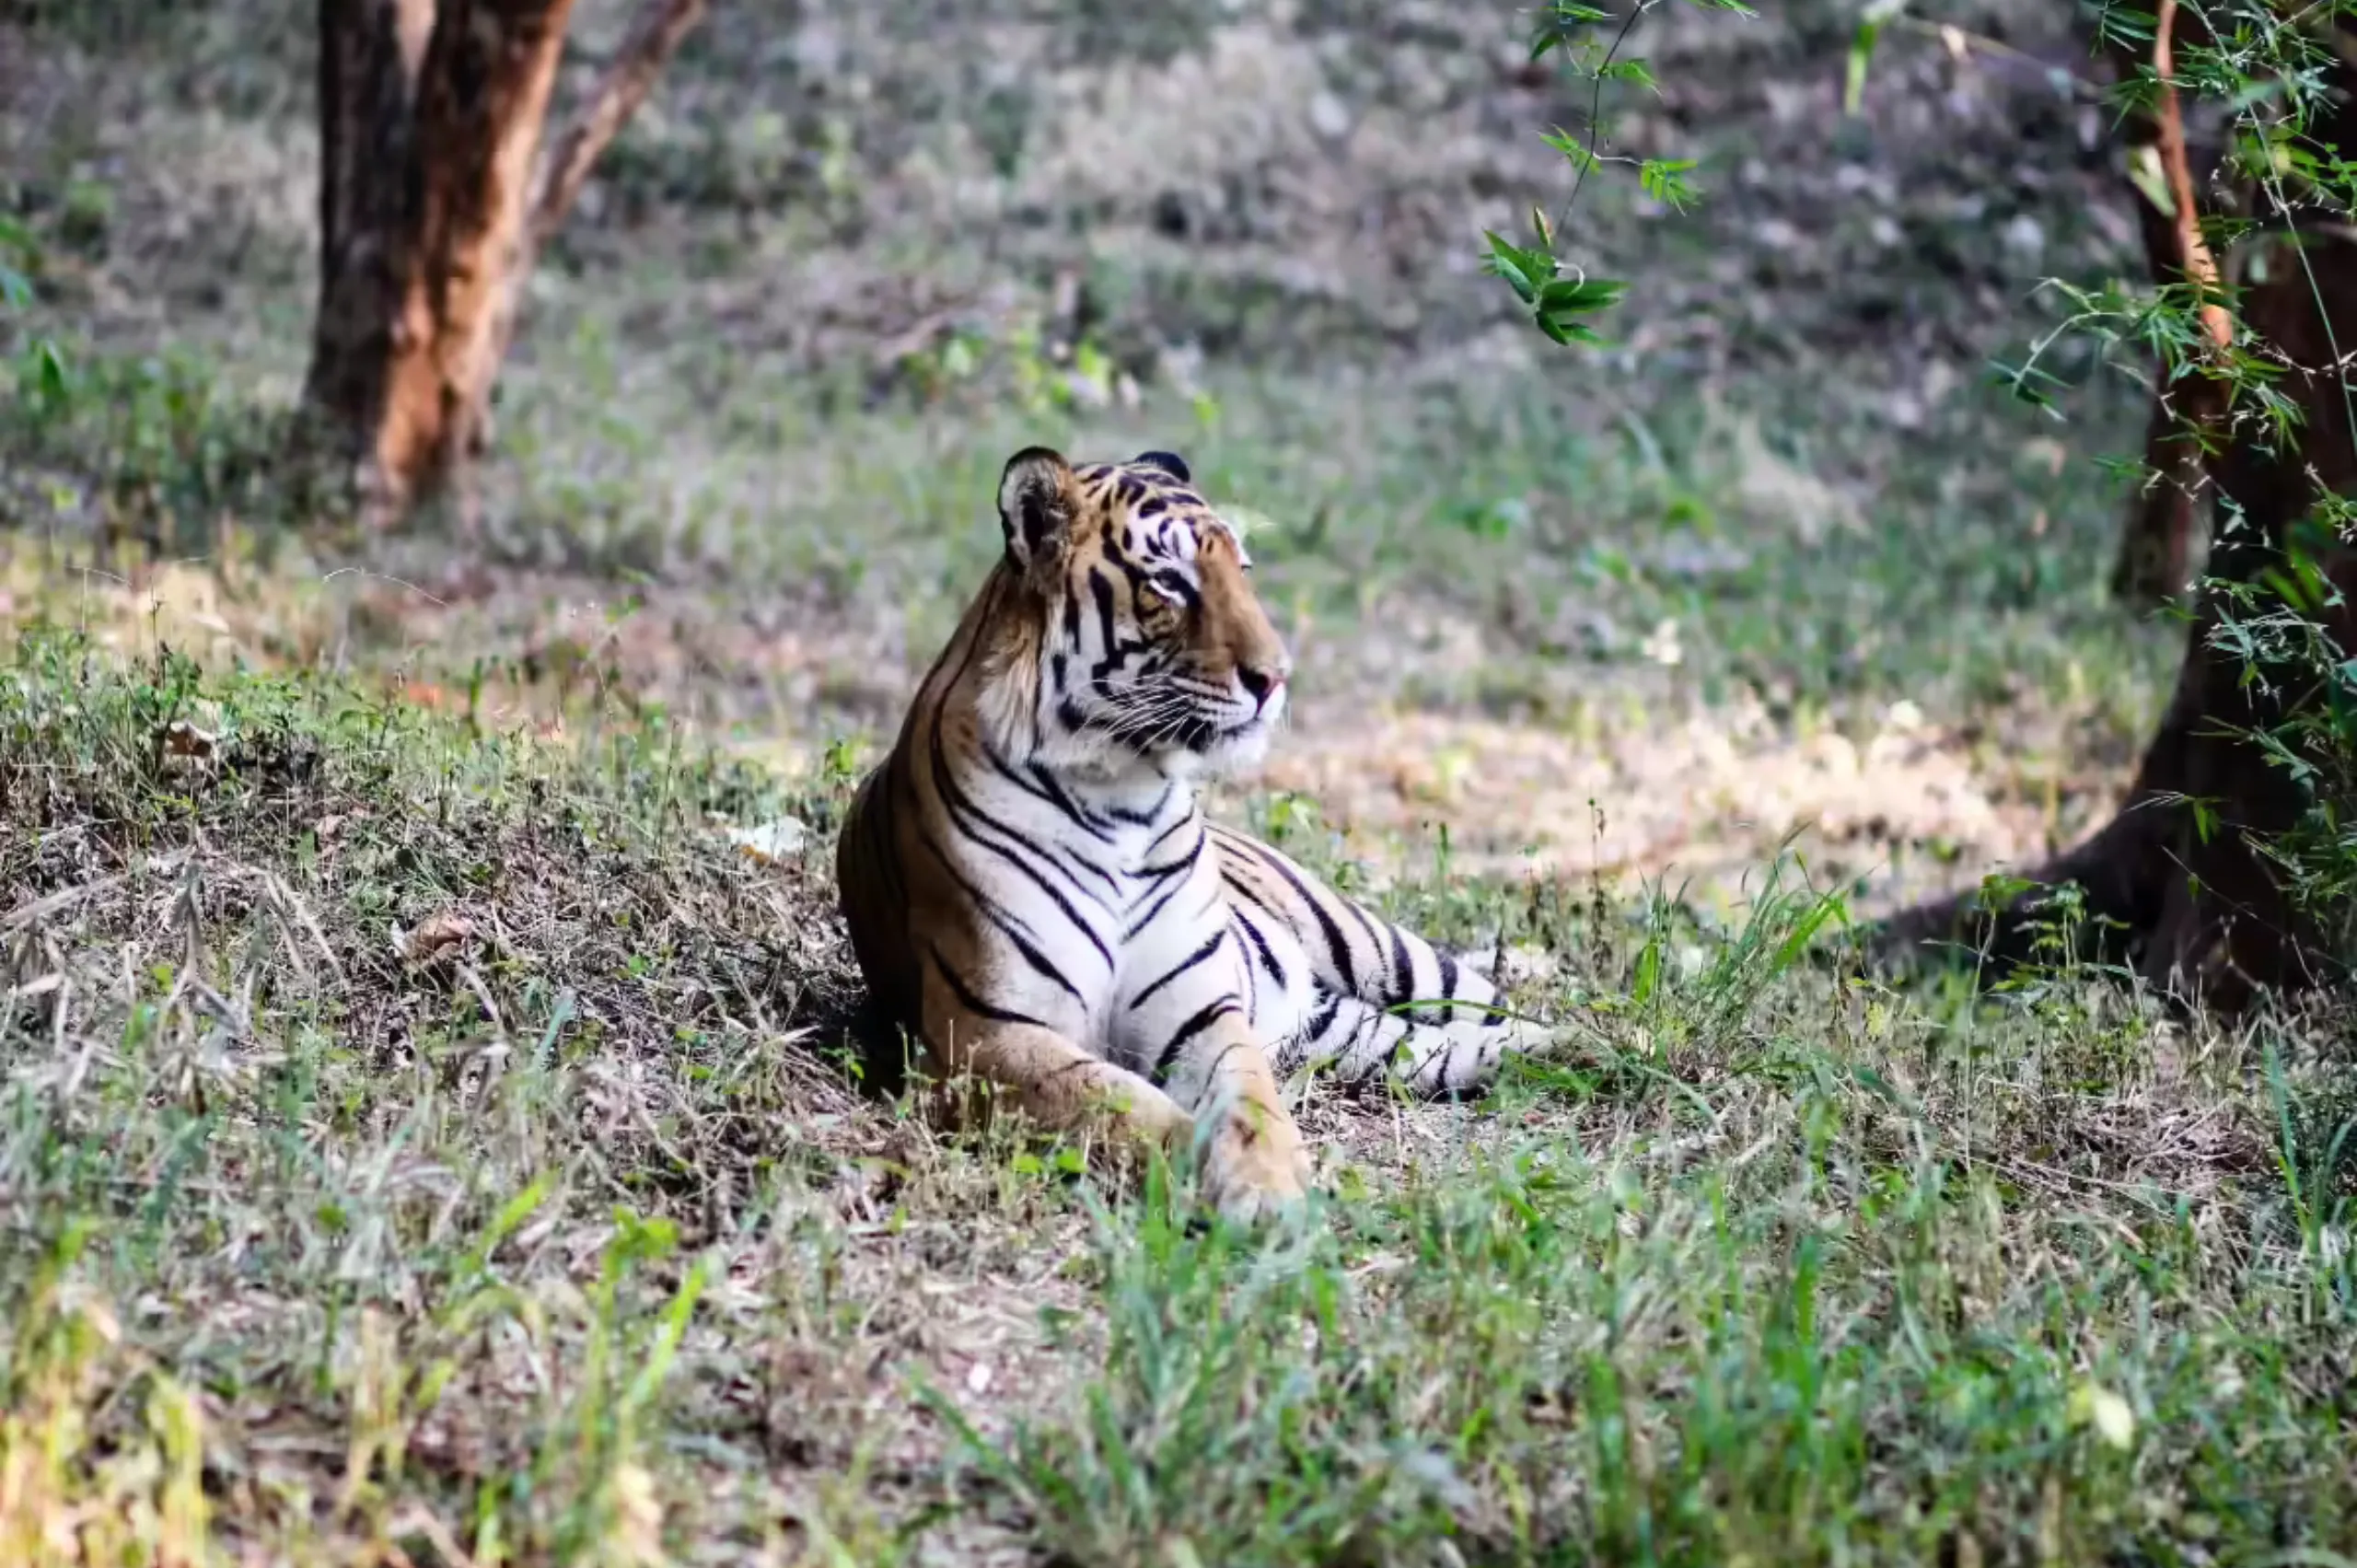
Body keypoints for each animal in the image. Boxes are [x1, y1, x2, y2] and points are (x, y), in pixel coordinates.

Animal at [834, 444, 1543, 1219]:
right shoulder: (987, 1033)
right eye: (1170, 582)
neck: (1118, 792)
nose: (1277, 677)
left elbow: (1251, 1103)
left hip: (1378, 946)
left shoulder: (1205, 1012)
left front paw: (1274, 1185)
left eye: (1244, 571)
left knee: (1510, 1011)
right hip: (1352, 1031)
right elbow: (1122, 1106)